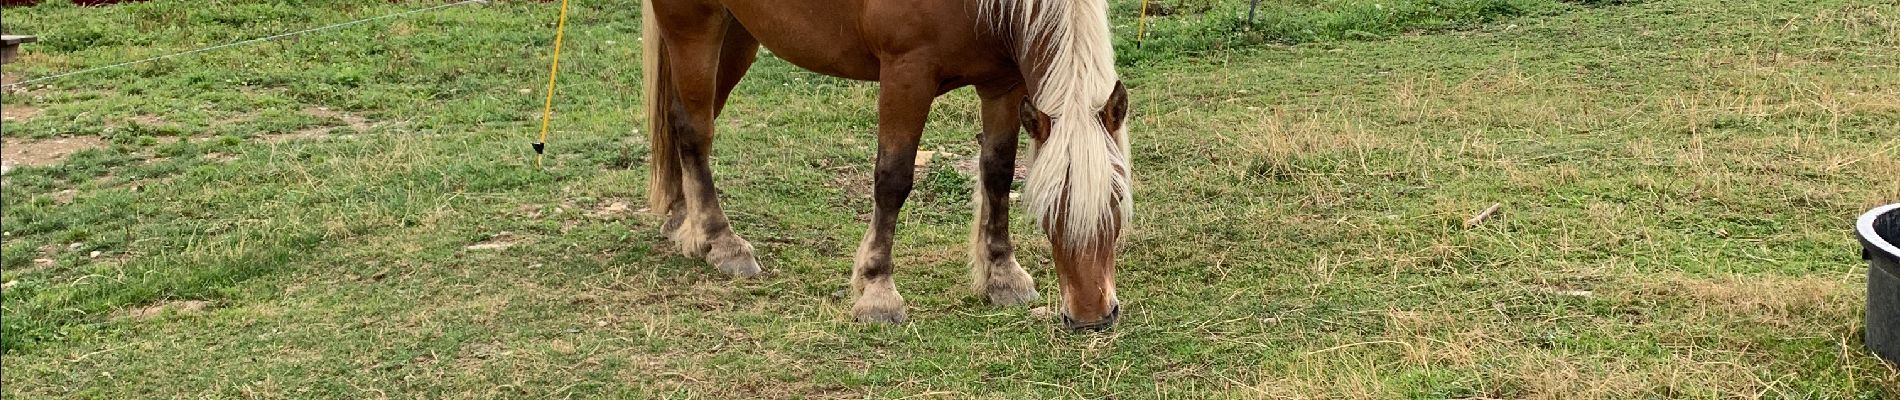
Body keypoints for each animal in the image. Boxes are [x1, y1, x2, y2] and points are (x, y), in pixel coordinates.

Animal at [646, 0, 1132, 329]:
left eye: (1117, 200)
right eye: (1049, 212)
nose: (1091, 317)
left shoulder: (1002, 86)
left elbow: (998, 173)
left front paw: (1003, 276)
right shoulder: (906, 73)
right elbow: (893, 179)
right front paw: (878, 292)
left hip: (739, 33)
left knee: (685, 121)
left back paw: (683, 222)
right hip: (694, 24)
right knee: (694, 129)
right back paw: (720, 241)